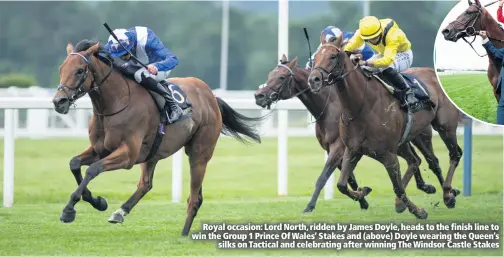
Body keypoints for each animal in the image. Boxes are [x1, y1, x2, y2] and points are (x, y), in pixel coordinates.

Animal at [52, 39, 262, 235]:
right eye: (61, 68)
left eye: (80, 70)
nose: (58, 101)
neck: (116, 102)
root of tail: (211, 96)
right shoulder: (100, 149)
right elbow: (74, 163)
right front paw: (97, 201)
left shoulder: (128, 155)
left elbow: (92, 170)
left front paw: (69, 210)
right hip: (153, 152)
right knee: (146, 184)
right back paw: (120, 212)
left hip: (199, 153)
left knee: (194, 197)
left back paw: (183, 234)